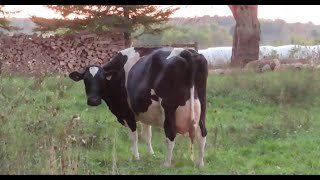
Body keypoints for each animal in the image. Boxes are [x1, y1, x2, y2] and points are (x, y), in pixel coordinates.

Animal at [69, 46, 209, 167]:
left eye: (102, 79)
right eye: (85, 80)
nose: (93, 100)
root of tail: (185, 52)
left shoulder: (127, 113)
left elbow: (133, 137)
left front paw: (136, 157)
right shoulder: (145, 112)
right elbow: (147, 136)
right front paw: (151, 155)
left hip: (168, 107)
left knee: (170, 134)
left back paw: (167, 164)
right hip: (202, 105)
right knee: (202, 133)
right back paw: (200, 163)